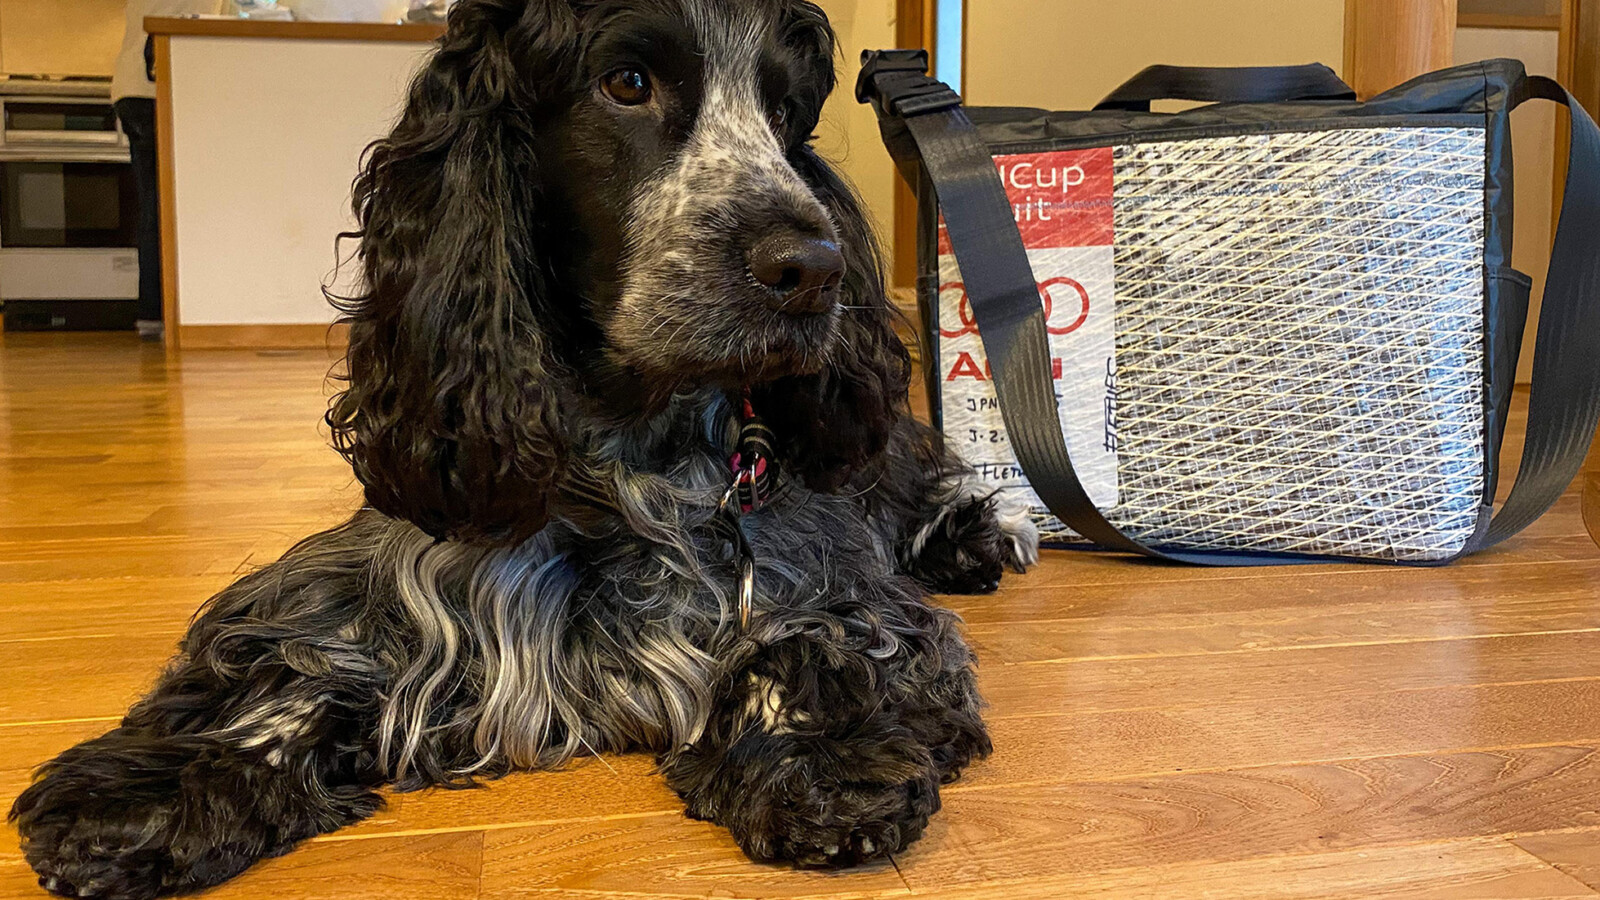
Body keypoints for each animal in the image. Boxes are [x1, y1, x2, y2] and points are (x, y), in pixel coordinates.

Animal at [10, 1, 1038, 896]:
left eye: (786, 113)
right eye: (627, 82)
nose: (816, 271)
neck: (628, 448)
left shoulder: (808, 553)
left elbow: (820, 634)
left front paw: (816, 758)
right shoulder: (395, 565)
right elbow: (290, 659)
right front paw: (152, 793)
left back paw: (973, 541)